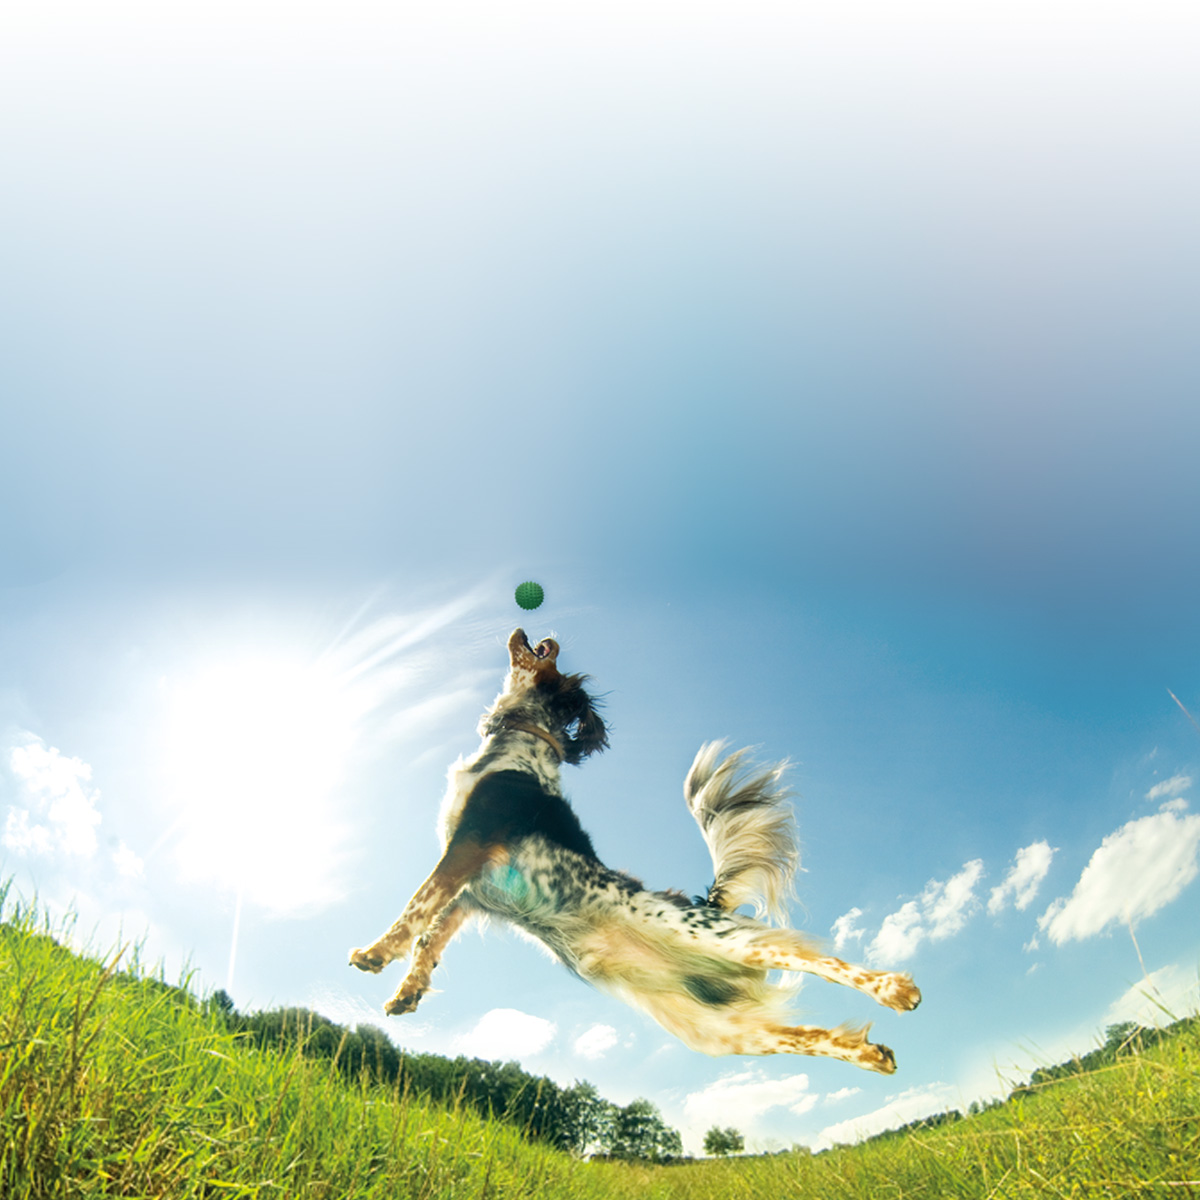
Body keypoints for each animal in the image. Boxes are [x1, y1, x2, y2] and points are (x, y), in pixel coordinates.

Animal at [350, 633, 921, 1075]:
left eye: (552, 658)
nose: (541, 631)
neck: (518, 746)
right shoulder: (475, 889)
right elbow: (431, 935)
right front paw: (408, 990)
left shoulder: (471, 841)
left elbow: (416, 906)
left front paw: (375, 953)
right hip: (714, 1030)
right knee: (800, 1036)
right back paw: (870, 1054)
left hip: (720, 938)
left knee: (814, 958)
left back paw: (894, 988)